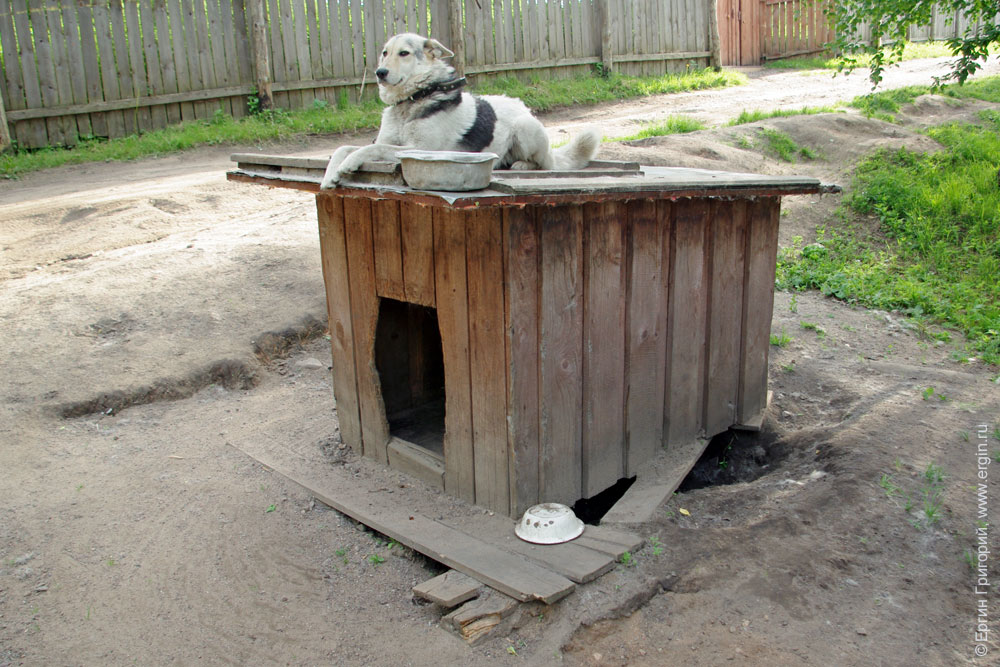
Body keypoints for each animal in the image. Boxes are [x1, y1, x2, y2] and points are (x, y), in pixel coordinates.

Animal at [320, 33, 600, 189]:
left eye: (404, 53)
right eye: (384, 53)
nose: (380, 72)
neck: (412, 102)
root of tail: (523, 106)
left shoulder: (420, 149)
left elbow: (372, 148)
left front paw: (349, 164)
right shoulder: (394, 141)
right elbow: (343, 147)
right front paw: (330, 174)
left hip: (525, 128)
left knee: (544, 164)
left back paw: (521, 164)